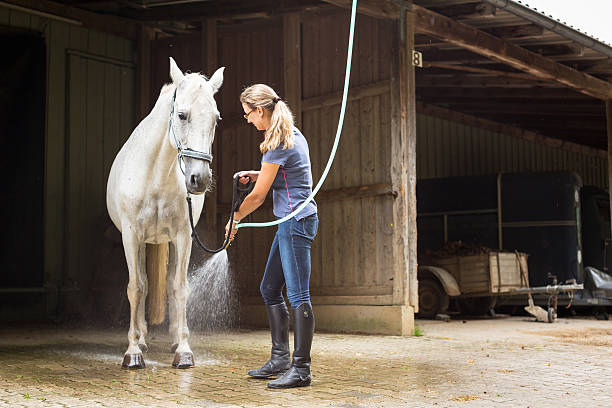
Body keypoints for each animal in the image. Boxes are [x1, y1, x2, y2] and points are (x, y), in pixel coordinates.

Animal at [106, 58, 224, 370]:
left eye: (216, 119)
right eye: (182, 115)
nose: (199, 179)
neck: (156, 174)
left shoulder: (183, 237)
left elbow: (180, 288)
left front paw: (183, 351)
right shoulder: (132, 236)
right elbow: (136, 288)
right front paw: (133, 352)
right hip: (142, 243)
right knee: (144, 285)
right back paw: (142, 341)